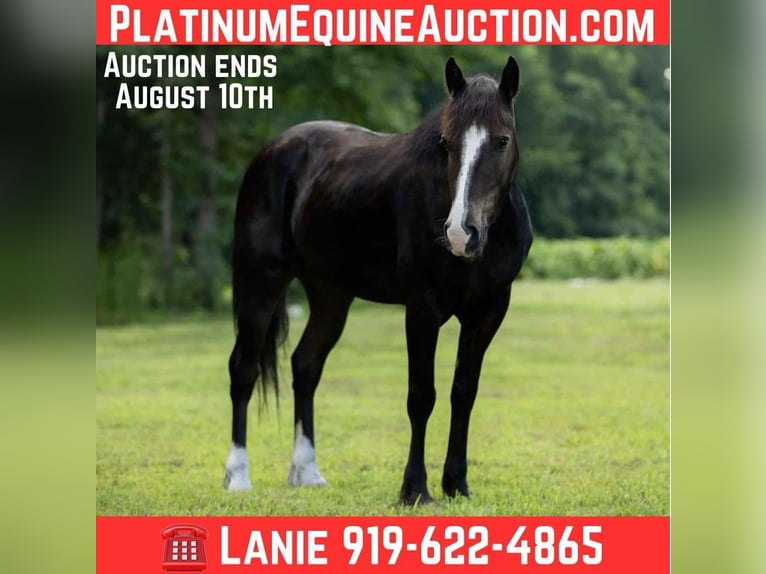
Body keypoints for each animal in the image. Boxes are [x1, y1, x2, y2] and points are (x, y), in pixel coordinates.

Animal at [223, 56, 533, 505]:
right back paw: (237, 476)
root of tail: (275, 149)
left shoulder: (487, 312)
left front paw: (457, 484)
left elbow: (463, 393)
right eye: (446, 142)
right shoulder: (422, 309)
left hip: (330, 295)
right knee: (244, 369)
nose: (461, 233)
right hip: (260, 283)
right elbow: (421, 396)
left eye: (502, 140)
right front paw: (415, 489)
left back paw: (306, 471)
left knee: (305, 366)